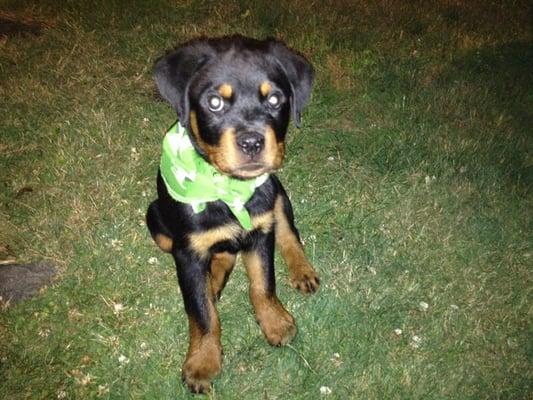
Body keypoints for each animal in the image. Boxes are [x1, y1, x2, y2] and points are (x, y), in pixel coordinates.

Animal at [145, 35, 318, 394]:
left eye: (275, 99)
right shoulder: (187, 251)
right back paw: (213, 281)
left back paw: (302, 270)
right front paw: (202, 362)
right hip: (155, 219)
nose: (252, 142)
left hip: (276, 192)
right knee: (220, 257)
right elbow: (202, 313)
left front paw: (276, 323)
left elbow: (263, 283)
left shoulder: (260, 230)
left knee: (288, 232)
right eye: (214, 103)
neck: (228, 190)